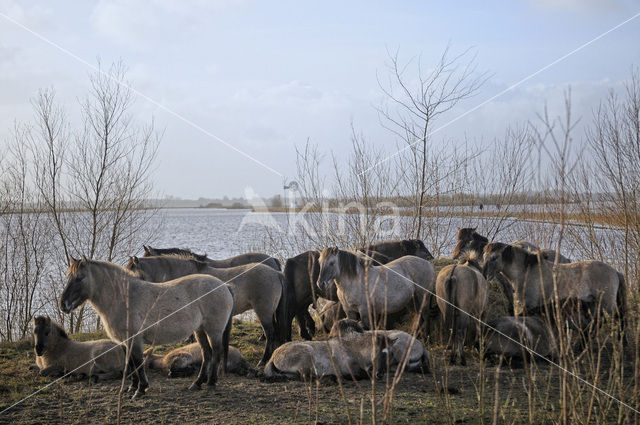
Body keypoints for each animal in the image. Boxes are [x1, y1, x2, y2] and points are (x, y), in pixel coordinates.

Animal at [60, 256, 234, 400]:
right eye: (68, 276)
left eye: (80, 278)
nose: (63, 305)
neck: (125, 298)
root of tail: (224, 286)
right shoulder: (125, 342)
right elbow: (130, 363)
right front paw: (132, 387)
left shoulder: (135, 340)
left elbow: (138, 363)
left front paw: (140, 389)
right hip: (200, 330)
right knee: (207, 354)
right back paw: (197, 384)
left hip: (214, 331)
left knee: (216, 353)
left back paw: (211, 384)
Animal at [482, 242, 628, 332]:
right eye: (484, 256)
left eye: (494, 258)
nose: (484, 274)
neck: (526, 271)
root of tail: (615, 271)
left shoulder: (529, 305)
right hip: (594, 304)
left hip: (607, 304)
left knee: (618, 318)